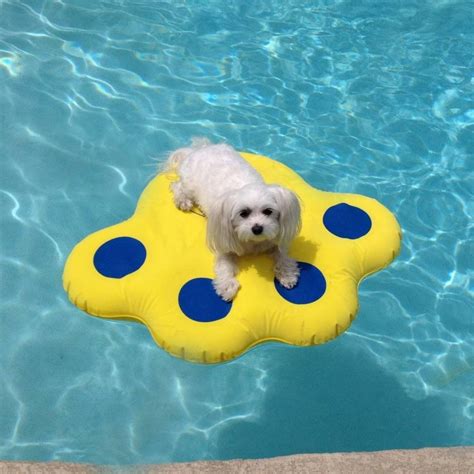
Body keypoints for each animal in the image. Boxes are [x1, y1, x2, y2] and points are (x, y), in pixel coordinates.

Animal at [167, 139, 300, 300]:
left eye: (268, 211)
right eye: (243, 213)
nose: (257, 228)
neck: (253, 242)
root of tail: (200, 148)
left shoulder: (273, 241)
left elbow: (282, 255)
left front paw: (287, 273)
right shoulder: (224, 240)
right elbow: (224, 266)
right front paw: (226, 285)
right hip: (190, 184)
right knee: (177, 186)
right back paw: (183, 201)